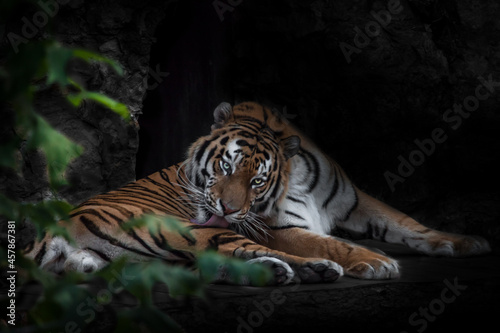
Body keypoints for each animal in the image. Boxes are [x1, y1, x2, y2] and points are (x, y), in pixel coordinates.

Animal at [23, 100, 488, 282]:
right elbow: (327, 241)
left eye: (257, 180)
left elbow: (406, 221)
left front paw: (467, 242)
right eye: (224, 167)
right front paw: (375, 262)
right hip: (186, 231)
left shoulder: (355, 200)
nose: (227, 208)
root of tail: (53, 231)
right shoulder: (274, 227)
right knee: (239, 252)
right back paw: (315, 269)